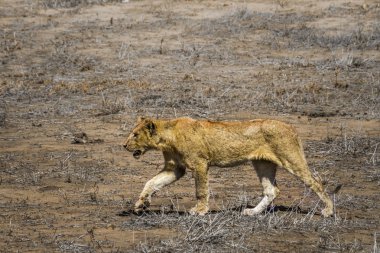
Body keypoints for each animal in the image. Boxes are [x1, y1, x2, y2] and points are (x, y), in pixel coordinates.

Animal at [123, 116, 334, 217]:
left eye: (135, 134)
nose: (124, 145)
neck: (167, 137)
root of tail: (291, 127)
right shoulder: (175, 168)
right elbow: (151, 183)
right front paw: (140, 204)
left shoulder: (200, 164)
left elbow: (201, 191)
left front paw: (199, 211)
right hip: (262, 164)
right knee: (272, 190)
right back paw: (252, 212)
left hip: (291, 159)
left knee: (316, 182)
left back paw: (329, 211)